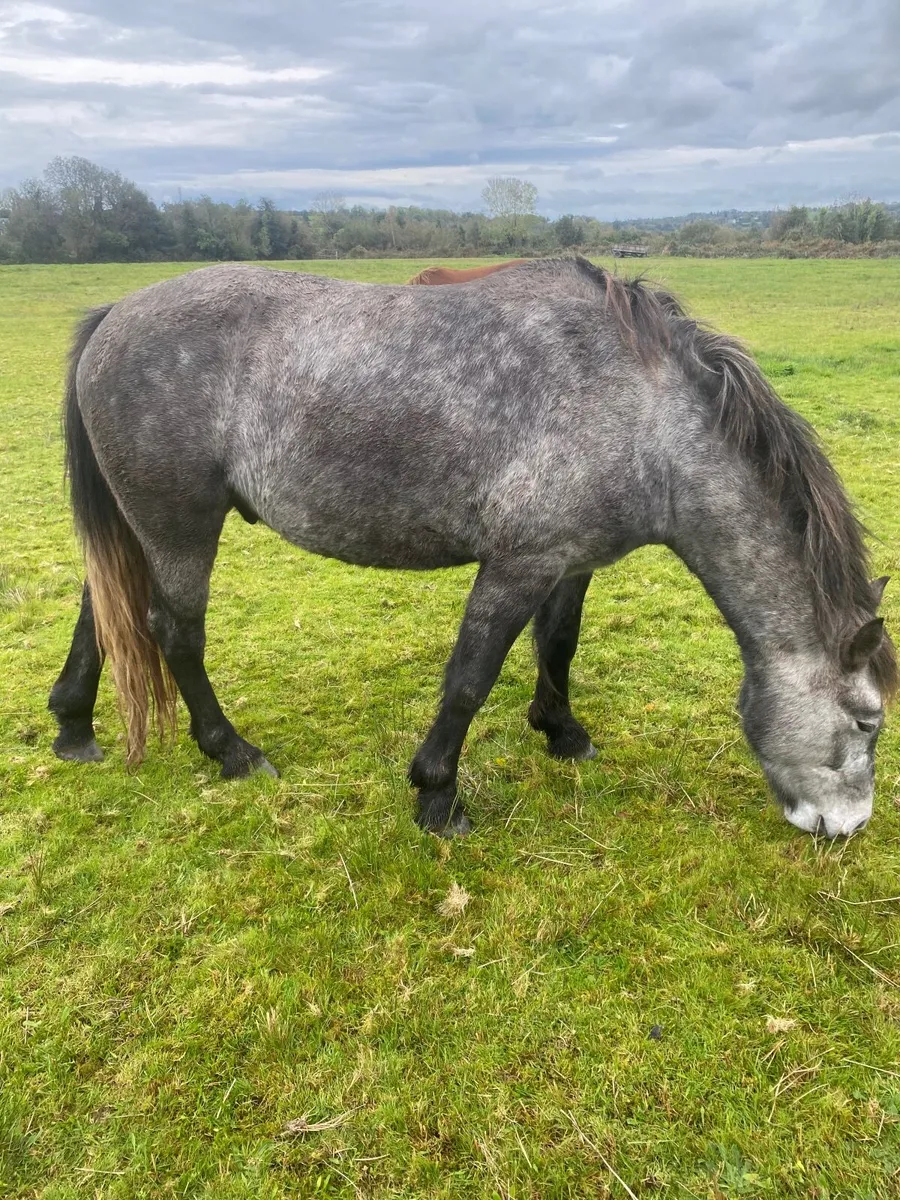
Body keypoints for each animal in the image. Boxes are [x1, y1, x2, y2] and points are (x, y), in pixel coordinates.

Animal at [49, 256, 896, 839]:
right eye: (866, 723)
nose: (847, 829)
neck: (645, 416)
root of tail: (113, 315)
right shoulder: (517, 565)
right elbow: (470, 676)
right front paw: (437, 795)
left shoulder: (569, 561)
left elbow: (558, 644)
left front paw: (561, 732)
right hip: (181, 526)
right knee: (173, 633)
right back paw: (232, 752)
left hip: (140, 526)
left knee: (104, 615)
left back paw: (73, 728)